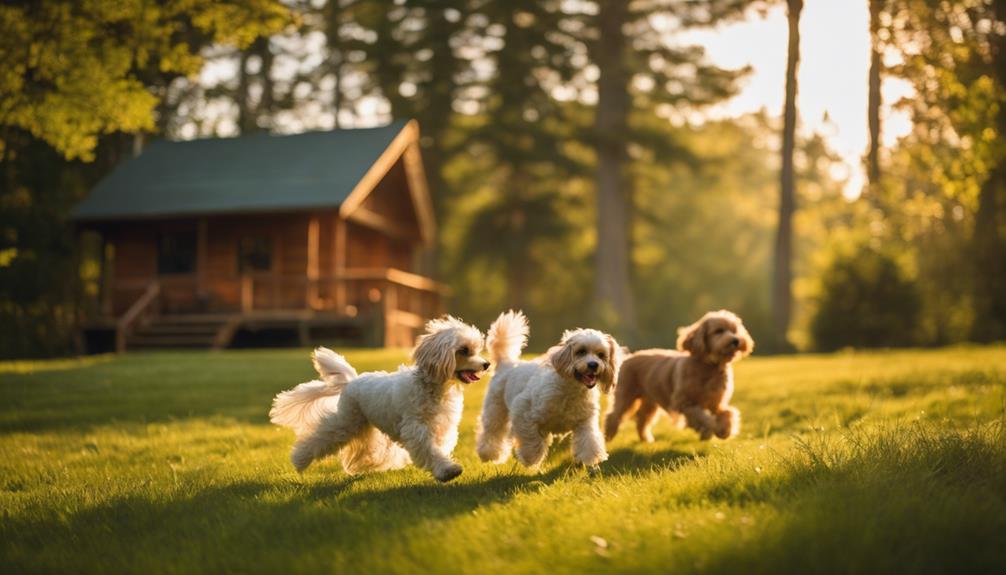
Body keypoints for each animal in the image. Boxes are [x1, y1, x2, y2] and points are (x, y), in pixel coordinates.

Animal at [267, 317, 486, 482]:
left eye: (475, 350)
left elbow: (438, 448)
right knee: (321, 437)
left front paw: (445, 468)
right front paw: (448, 471)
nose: (486, 364)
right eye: (464, 350)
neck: (432, 388)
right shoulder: (415, 428)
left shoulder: (442, 428)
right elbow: (430, 450)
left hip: (361, 426)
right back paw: (299, 460)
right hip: (347, 423)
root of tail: (351, 381)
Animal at [472, 311, 619, 468]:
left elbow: (589, 440)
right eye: (581, 351)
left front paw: (591, 457)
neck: (571, 393)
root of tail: (506, 363)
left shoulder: (584, 421)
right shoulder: (523, 411)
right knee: (491, 432)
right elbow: (531, 440)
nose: (593, 364)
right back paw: (489, 454)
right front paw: (530, 458)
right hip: (495, 410)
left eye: (601, 355)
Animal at [599, 309, 752, 440]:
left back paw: (646, 439)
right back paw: (608, 436)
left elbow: (727, 413)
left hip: (649, 402)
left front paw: (724, 430)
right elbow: (701, 417)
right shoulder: (684, 403)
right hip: (626, 396)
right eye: (719, 331)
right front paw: (709, 430)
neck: (709, 368)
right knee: (613, 415)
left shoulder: (717, 403)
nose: (736, 340)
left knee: (642, 419)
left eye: (734, 330)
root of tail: (628, 357)